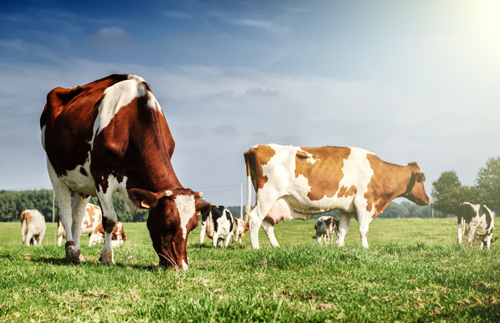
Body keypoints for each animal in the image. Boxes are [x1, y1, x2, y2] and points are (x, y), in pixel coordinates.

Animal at [39, 74, 209, 270]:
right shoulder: (102, 177)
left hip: (82, 183)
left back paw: (79, 254)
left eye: (193, 226)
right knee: (65, 212)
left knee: (78, 216)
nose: (181, 266)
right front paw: (107, 257)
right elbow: (110, 220)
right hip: (54, 169)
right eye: (167, 223)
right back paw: (71, 252)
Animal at [245, 146, 430, 249]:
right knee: (255, 220)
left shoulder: (346, 208)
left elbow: (342, 231)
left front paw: (340, 247)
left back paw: (276, 246)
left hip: (272, 202)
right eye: (422, 179)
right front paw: (365, 248)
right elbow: (364, 229)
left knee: (266, 224)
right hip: (267, 195)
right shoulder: (364, 202)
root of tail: (254, 148)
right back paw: (256, 248)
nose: (428, 200)